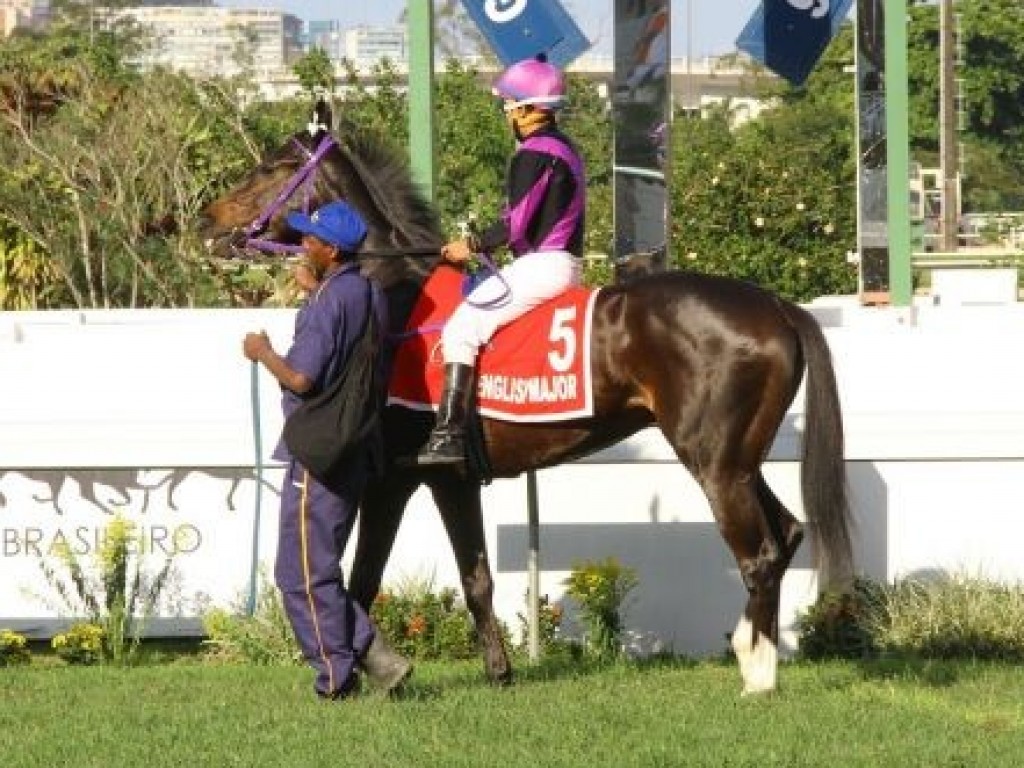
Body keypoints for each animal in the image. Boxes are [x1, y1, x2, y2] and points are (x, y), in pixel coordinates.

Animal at [197, 109, 847, 696]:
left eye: (273, 166)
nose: (208, 217)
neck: (398, 294)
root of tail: (776, 306)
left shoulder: (397, 480)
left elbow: (363, 578)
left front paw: (360, 671)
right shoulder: (448, 480)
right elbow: (474, 577)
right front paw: (496, 671)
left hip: (714, 463)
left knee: (759, 553)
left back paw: (756, 674)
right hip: (740, 461)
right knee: (787, 535)